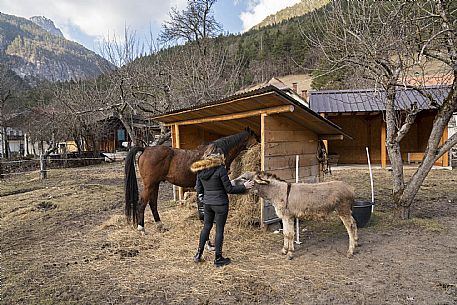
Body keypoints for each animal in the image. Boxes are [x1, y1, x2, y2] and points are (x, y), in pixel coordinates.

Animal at [123, 127, 258, 230]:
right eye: (256, 138)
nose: (260, 144)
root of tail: (146, 149)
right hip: (150, 184)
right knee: (142, 203)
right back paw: (141, 228)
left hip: (155, 184)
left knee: (153, 203)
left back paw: (160, 225)